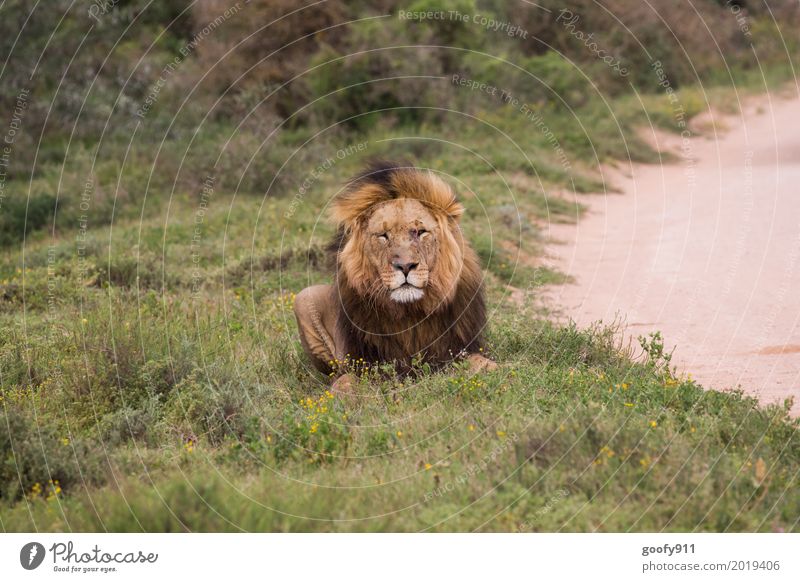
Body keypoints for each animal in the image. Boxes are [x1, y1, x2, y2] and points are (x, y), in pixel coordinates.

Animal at [294, 162, 494, 394]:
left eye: (420, 232)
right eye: (383, 235)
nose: (405, 266)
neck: (411, 314)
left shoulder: (457, 350)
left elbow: (485, 363)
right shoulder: (368, 363)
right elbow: (344, 382)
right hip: (304, 297)